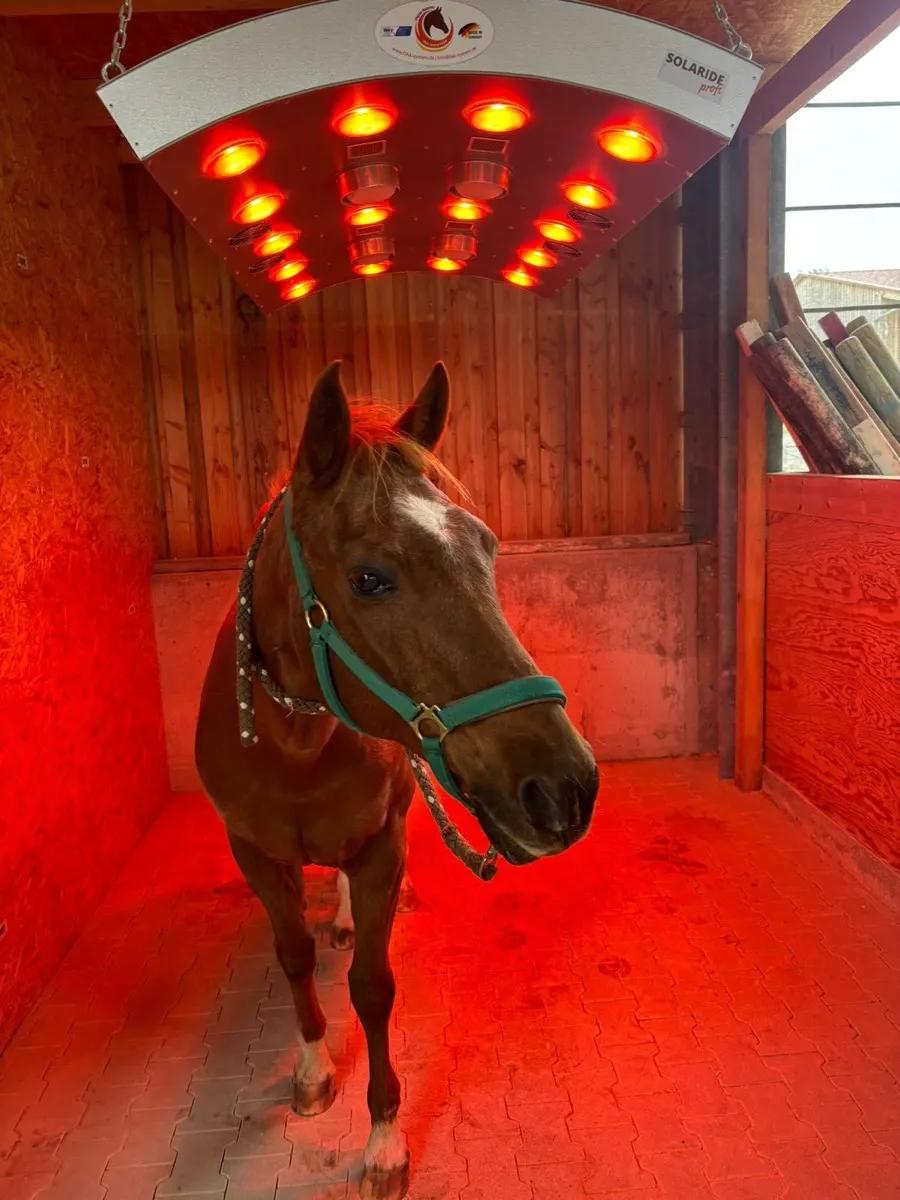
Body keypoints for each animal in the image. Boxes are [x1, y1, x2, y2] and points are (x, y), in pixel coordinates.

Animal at [195, 360, 599, 1200]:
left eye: (486, 548)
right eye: (369, 578)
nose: (567, 787)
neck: (295, 741)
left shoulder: (381, 845)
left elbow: (372, 988)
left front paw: (383, 1140)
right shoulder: (254, 852)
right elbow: (294, 957)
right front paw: (313, 1072)